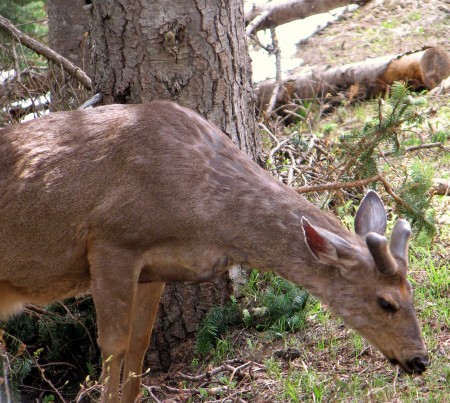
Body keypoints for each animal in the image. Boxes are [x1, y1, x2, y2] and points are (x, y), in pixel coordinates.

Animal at [0, 101, 428, 400]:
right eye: (386, 302)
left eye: (412, 292)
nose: (420, 360)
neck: (204, 210)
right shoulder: (112, 239)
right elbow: (113, 346)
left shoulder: (154, 269)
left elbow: (139, 346)